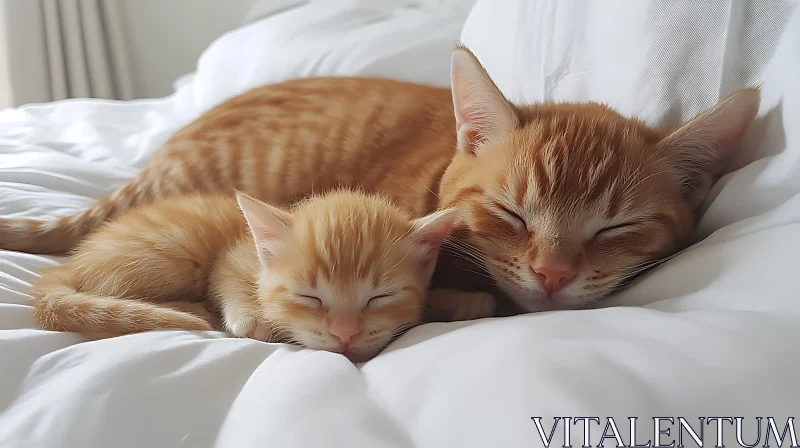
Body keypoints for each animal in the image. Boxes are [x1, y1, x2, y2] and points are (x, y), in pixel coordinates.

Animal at [34, 191, 456, 362]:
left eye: (380, 297)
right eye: (309, 297)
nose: (345, 335)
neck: (255, 247)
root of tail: (67, 263)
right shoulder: (232, 257)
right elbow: (230, 280)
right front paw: (251, 317)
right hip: (172, 251)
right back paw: (191, 309)